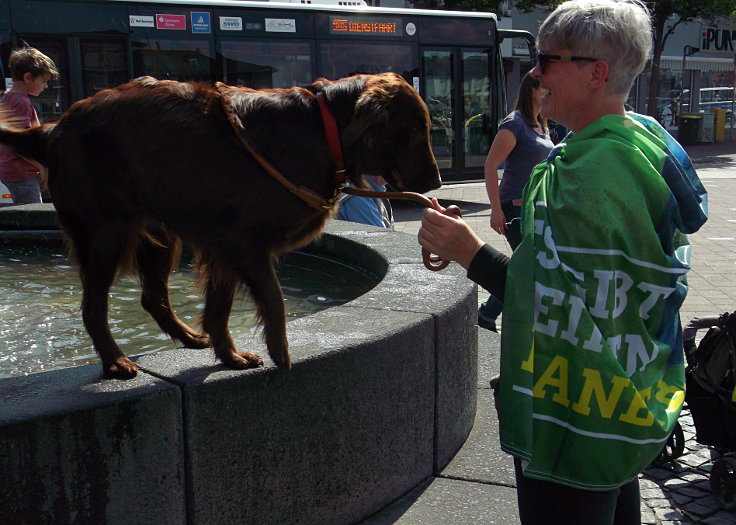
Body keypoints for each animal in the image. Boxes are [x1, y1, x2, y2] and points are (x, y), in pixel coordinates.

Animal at [0, 72, 440, 376]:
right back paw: (116, 361)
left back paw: (188, 337)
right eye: (414, 129)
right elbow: (275, 301)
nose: (436, 182)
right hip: (107, 233)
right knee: (93, 307)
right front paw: (281, 354)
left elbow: (219, 308)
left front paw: (228, 355)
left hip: (159, 234)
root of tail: (52, 128)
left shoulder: (222, 245)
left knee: (152, 297)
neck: (321, 131)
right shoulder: (243, 244)